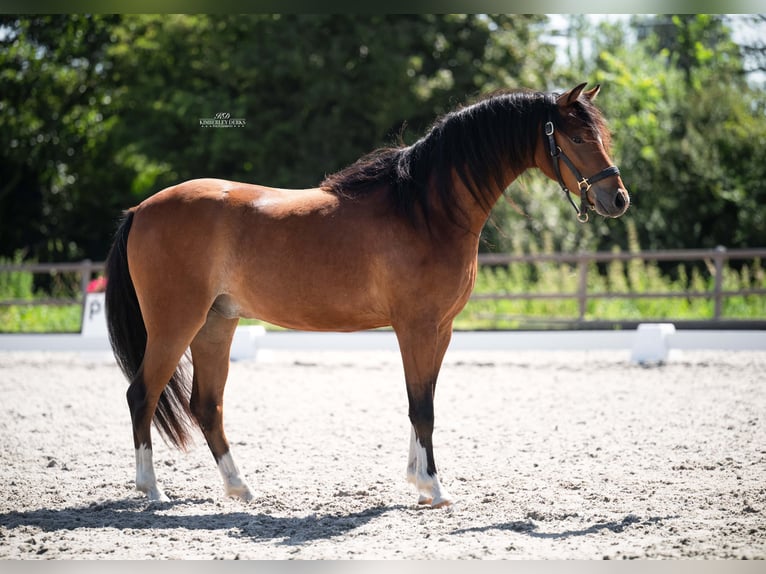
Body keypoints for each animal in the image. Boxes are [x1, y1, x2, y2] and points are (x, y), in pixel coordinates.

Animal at [105, 82, 629, 508]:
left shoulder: (440, 329)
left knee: (206, 405)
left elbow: (423, 401)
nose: (618, 199)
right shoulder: (416, 327)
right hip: (176, 324)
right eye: (577, 139)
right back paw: (152, 490)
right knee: (141, 395)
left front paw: (418, 480)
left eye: (601, 136)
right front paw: (434, 488)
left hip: (217, 323)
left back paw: (240, 489)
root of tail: (141, 209)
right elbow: (422, 407)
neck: (423, 210)